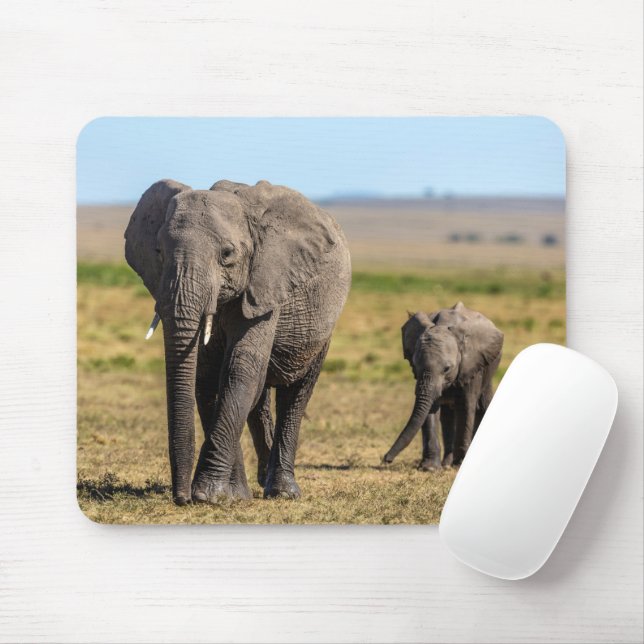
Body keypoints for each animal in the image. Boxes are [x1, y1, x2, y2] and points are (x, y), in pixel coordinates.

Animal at [124, 179, 351, 505]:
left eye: (227, 254)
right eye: (158, 251)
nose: (181, 498)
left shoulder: (265, 285)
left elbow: (239, 370)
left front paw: (208, 495)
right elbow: (207, 379)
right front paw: (233, 496)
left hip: (323, 325)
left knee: (295, 393)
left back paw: (282, 492)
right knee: (259, 398)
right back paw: (261, 482)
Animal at [383, 302, 503, 469]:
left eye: (447, 369)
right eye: (415, 365)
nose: (386, 459)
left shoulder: (471, 364)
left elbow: (466, 405)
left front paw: (459, 465)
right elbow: (430, 409)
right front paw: (430, 468)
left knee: (482, 405)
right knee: (447, 416)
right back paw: (446, 464)